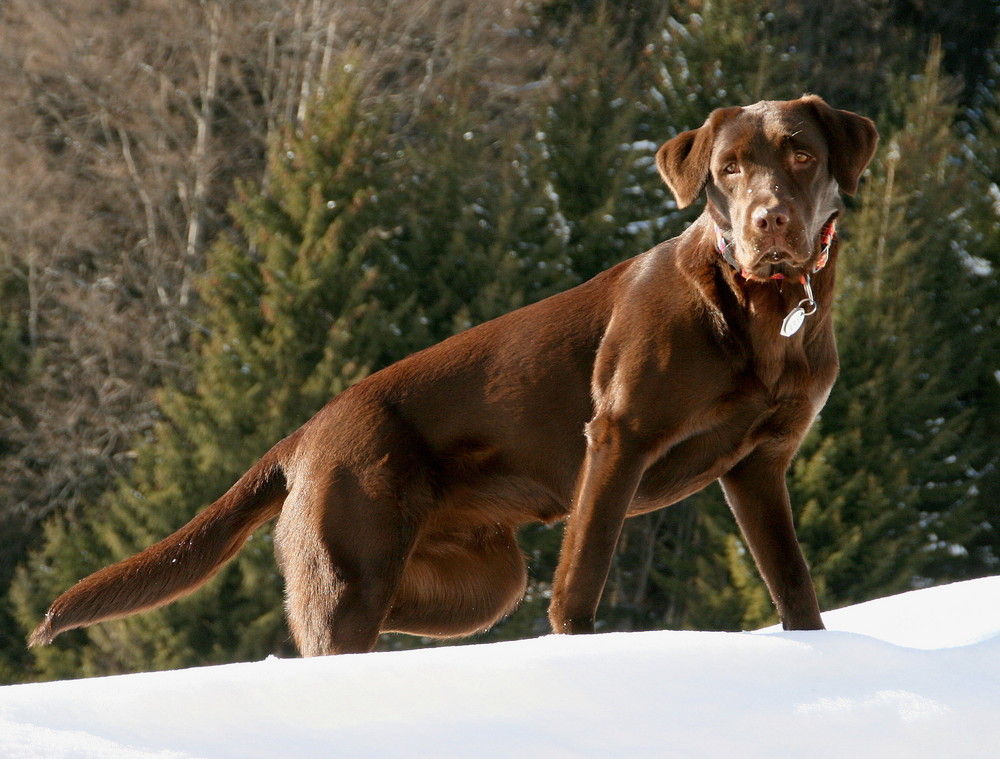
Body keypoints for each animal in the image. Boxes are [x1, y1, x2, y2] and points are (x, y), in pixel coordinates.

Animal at [29, 95, 876, 656]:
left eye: (802, 155)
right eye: (728, 167)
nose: (769, 219)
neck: (762, 308)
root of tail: (304, 434)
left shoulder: (760, 465)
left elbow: (795, 585)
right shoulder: (618, 437)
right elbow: (582, 577)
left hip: (474, 580)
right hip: (356, 568)